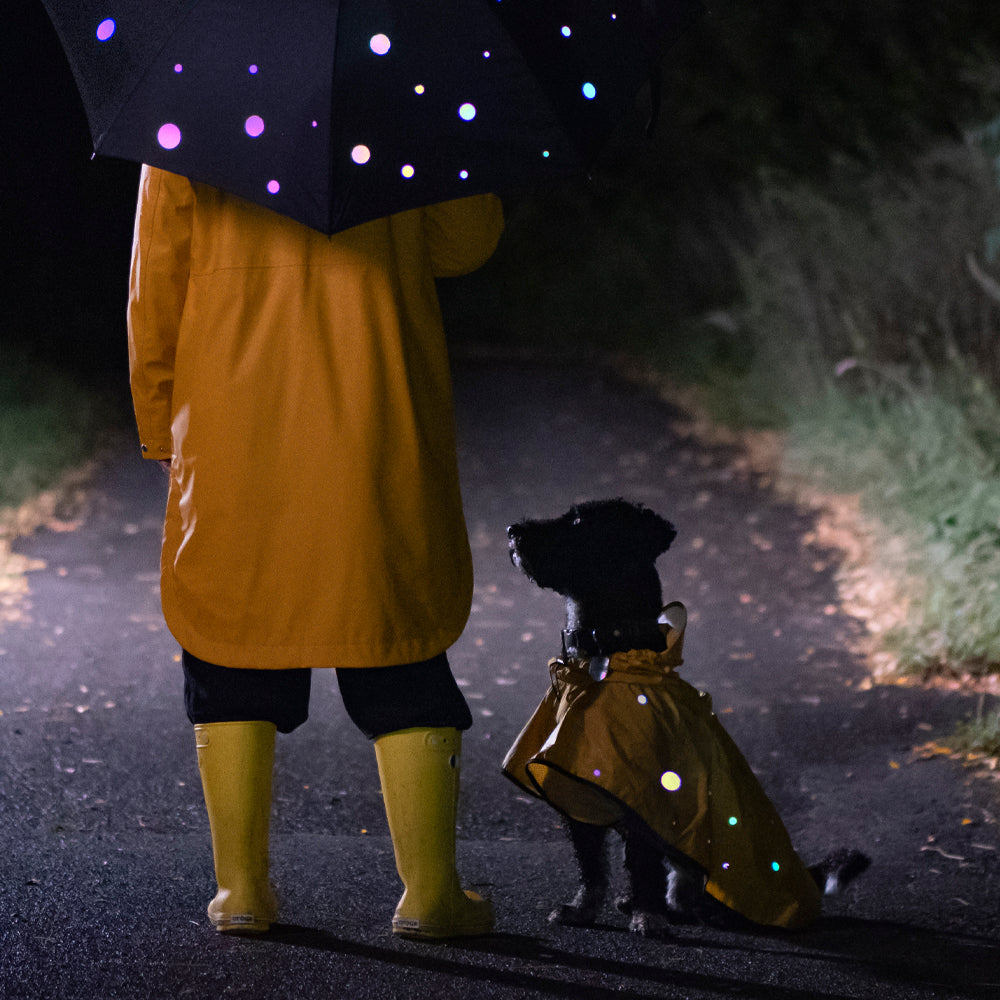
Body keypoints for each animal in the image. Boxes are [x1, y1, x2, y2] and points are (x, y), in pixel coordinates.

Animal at [508, 500, 868, 936]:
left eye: (579, 521)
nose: (513, 530)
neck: (606, 654)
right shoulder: (576, 788)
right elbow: (591, 862)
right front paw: (583, 908)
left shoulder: (643, 796)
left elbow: (641, 863)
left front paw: (647, 915)